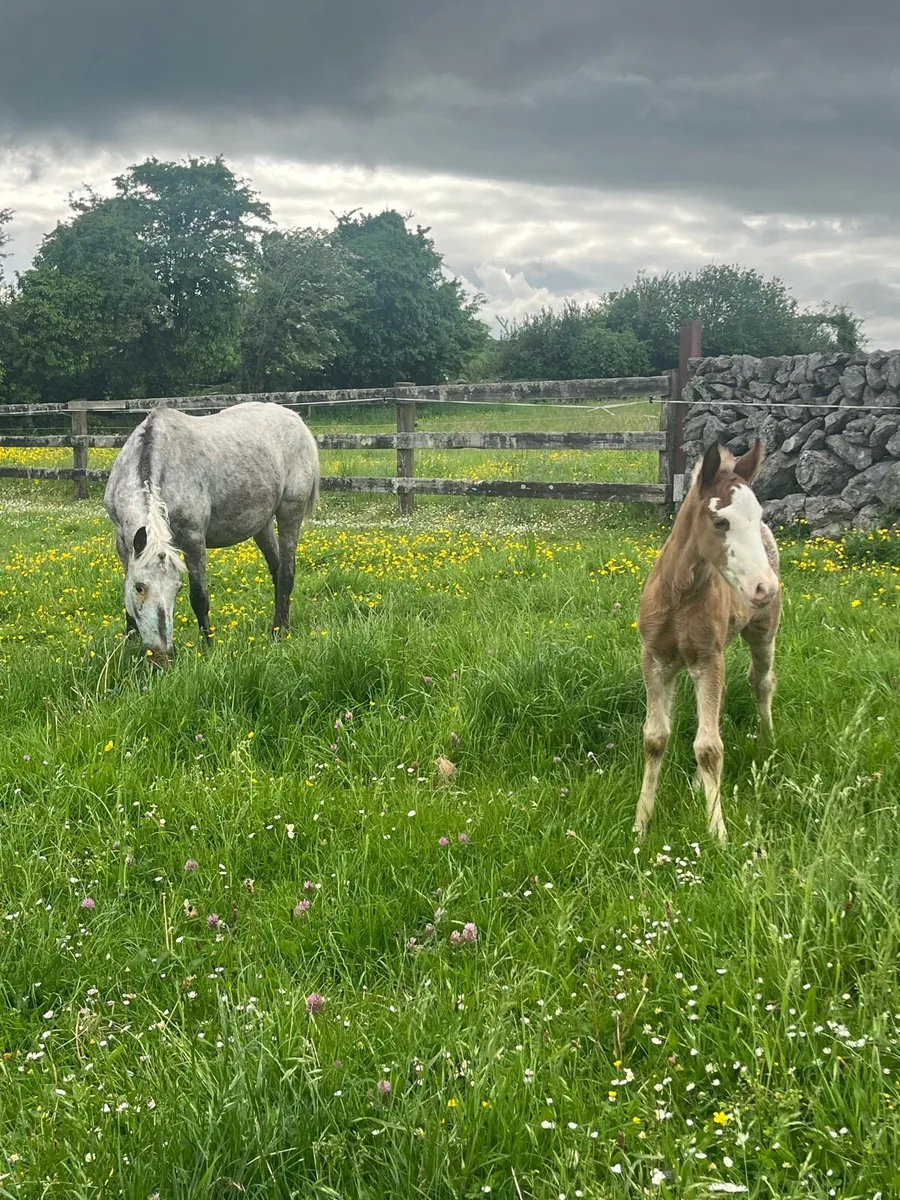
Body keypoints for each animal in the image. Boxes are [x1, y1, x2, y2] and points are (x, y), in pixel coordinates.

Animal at [104, 401, 319, 665]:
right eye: (139, 587)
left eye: (177, 588)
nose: (163, 657)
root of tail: (297, 420)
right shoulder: (122, 541)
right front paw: (129, 643)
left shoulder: (193, 540)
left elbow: (199, 597)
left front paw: (208, 647)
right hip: (262, 524)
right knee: (277, 570)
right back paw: (283, 626)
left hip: (290, 511)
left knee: (287, 573)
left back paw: (278, 633)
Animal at [633, 439, 781, 842]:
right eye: (720, 522)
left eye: (759, 515)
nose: (764, 587)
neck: (680, 597)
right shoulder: (656, 659)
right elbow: (655, 738)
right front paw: (641, 824)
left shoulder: (706, 659)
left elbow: (710, 747)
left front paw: (718, 833)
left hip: (763, 631)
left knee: (762, 681)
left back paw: (766, 741)